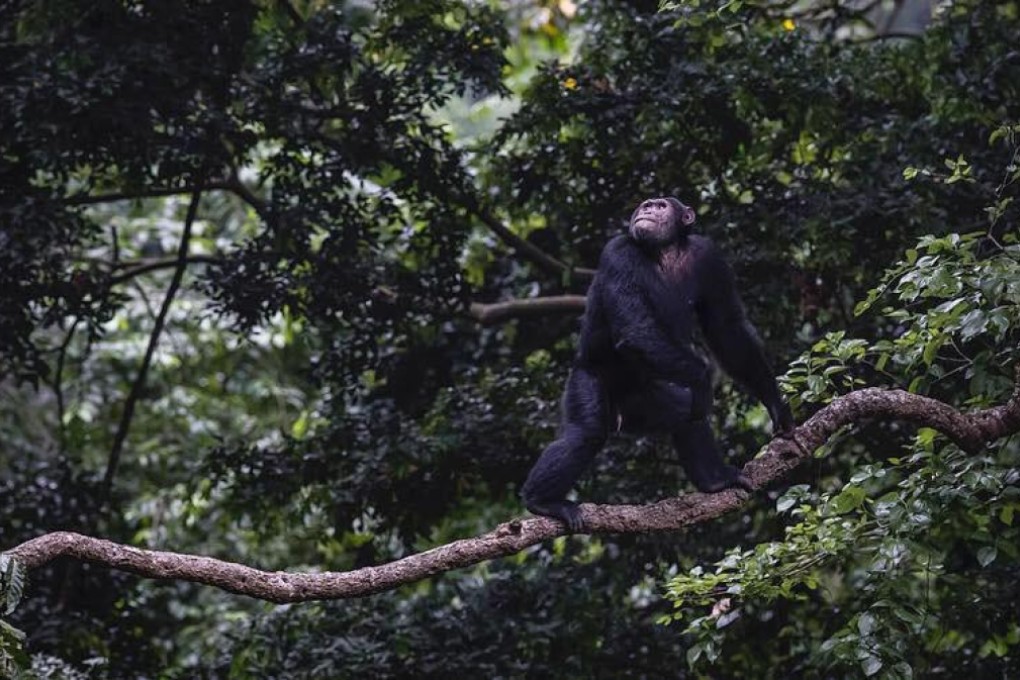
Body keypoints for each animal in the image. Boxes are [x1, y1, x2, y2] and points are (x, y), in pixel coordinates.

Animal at [522, 196, 791, 530]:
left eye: (661, 206)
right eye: (646, 205)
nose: (647, 210)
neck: (666, 249)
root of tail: (620, 415)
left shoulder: (711, 257)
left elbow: (726, 328)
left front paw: (776, 404)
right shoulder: (617, 253)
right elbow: (637, 327)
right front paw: (705, 381)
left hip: (649, 400)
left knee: (685, 412)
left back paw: (714, 481)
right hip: (586, 378)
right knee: (586, 433)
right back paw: (542, 501)